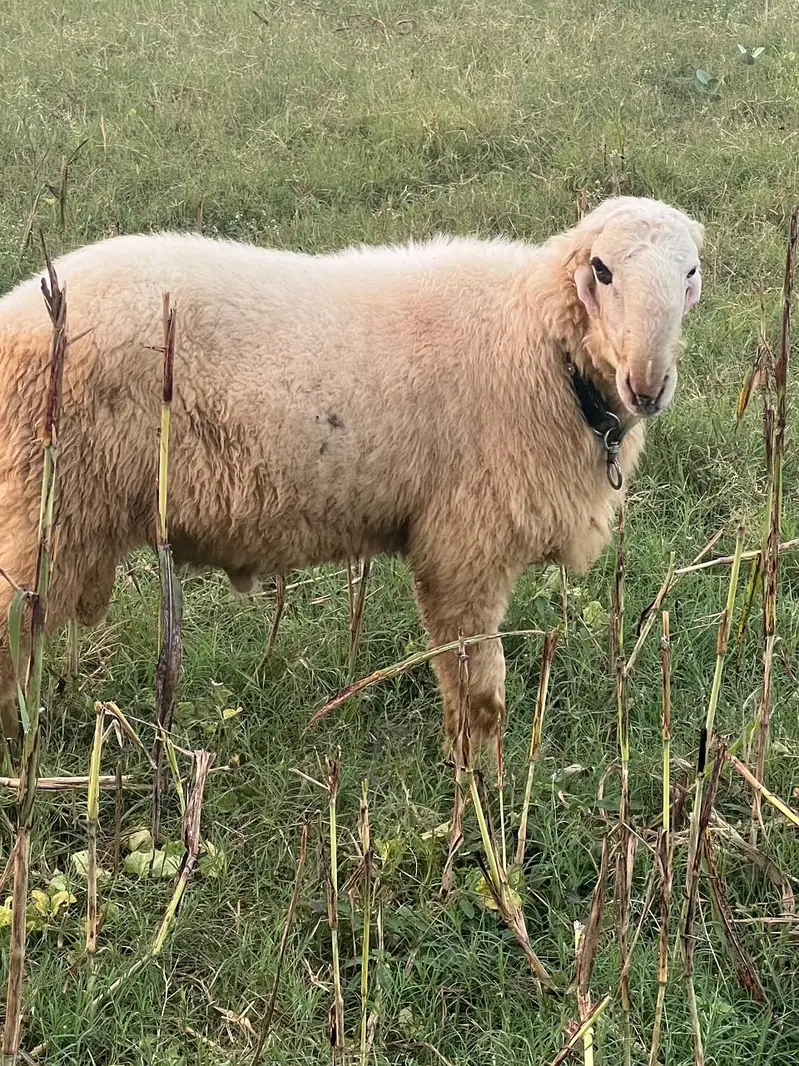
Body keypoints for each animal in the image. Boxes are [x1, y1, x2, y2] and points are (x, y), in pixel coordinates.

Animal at [0, 195, 704, 752]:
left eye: (692, 272)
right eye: (602, 271)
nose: (648, 385)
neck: (540, 343)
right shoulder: (463, 549)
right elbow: (481, 695)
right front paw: (481, 805)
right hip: (45, 504)